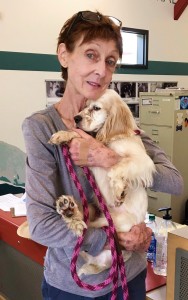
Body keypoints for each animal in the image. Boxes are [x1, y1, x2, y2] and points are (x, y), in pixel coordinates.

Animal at [48, 89, 156, 276]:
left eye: (96, 108)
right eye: (84, 106)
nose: (76, 118)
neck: (112, 139)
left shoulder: (143, 161)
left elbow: (117, 167)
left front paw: (119, 190)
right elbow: (79, 134)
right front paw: (63, 134)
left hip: (114, 223)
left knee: (89, 229)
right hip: (93, 210)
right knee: (84, 228)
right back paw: (68, 210)